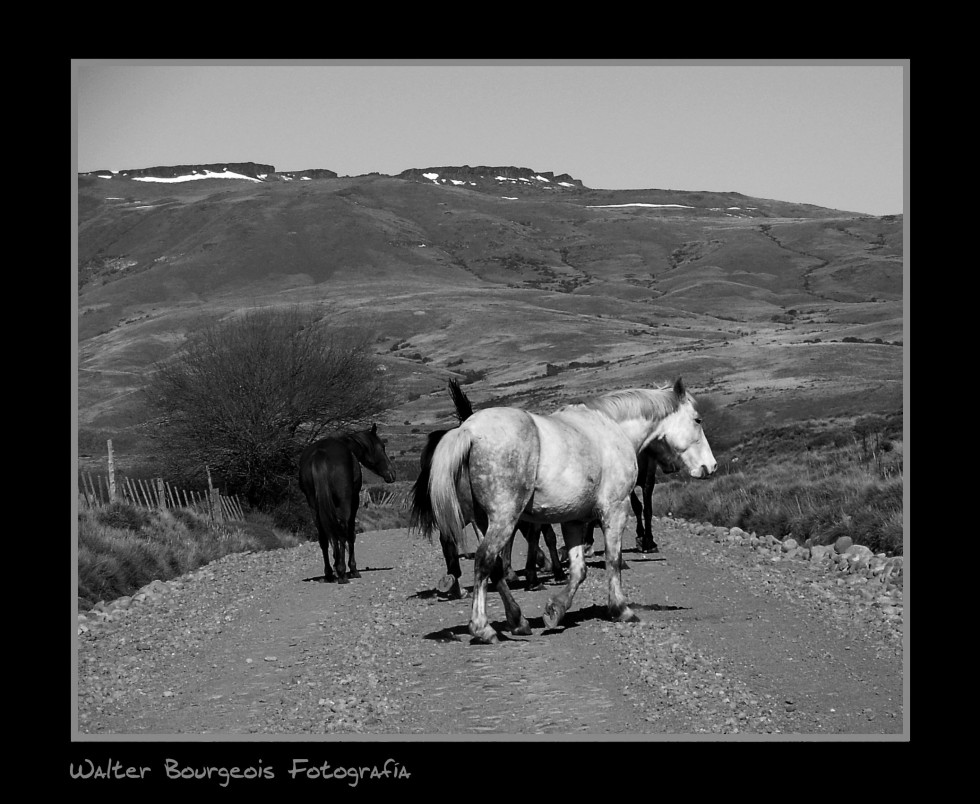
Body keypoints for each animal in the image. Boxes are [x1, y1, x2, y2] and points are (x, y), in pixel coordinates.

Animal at [296, 428, 396, 584]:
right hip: (344, 503)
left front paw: (336, 563)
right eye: (382, 447)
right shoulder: (353, 502)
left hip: (313, 505)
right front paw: (351, 568)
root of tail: (320, 454)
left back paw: (329, 573)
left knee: (323, 536)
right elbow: (350, 534)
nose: (391, 474)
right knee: (343, 531)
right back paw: (342, 572)